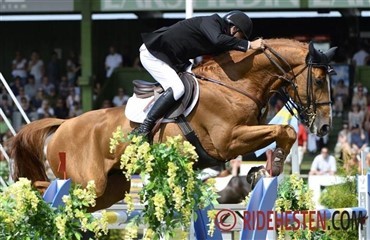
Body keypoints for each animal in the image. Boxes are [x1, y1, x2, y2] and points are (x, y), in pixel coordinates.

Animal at [10, 38, 336, 211]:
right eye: (319, 80)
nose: (324, 128)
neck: (235, 84)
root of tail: (64, 123)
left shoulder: (242, 139)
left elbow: (281, 134)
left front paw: (263, 170)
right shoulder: (228, 140)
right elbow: (285, 129)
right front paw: (271, 167)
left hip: (109, 189)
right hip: (88, 180)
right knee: (45, 185)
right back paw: (22, 192)